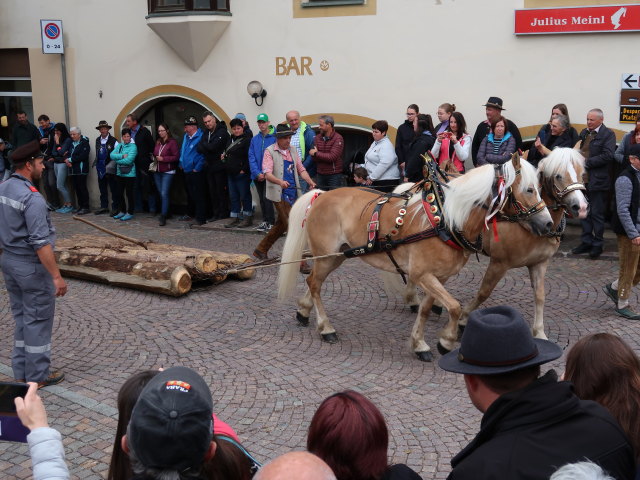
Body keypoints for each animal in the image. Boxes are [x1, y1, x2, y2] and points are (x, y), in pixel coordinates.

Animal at [278, 154, 552, 360]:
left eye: (540, 188)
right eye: (529, 189)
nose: (548, 223)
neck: (447, 220)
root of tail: (321, 194)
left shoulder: (437, 276)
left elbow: (427, 309)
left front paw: (420, 343)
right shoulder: (422, 274)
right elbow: (454, 306)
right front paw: (446, 341)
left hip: (338, 255)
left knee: (314, 282)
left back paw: (303, 311)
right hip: (326, 255)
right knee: (315, 283)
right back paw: (326, 328)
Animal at [458, 146, 588, 338]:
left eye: (581, 173)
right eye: (558, 175)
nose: (582, 207)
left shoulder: (539, 262)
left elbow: (540, 295)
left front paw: (539, 331)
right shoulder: (499, 263)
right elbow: (484, 292)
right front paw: (464, 317)